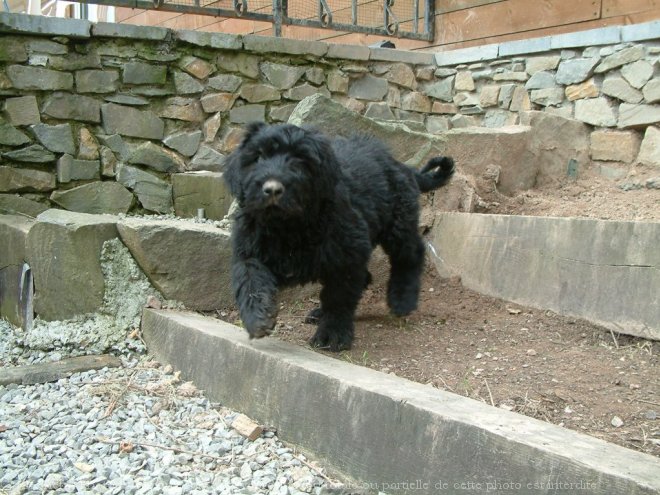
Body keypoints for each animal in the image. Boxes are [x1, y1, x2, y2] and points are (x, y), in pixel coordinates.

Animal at [222, 121, 454, 350]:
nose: (272, 189)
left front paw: (332, 334)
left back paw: (402, 299)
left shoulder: (347, 258)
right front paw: (257, 316)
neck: (288, 226)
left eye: (300, 160)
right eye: (258, 157)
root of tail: (402, 166)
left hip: (398, 224)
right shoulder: (249, 251)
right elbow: (250, 280)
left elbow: (339, 297)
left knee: (411, 254)